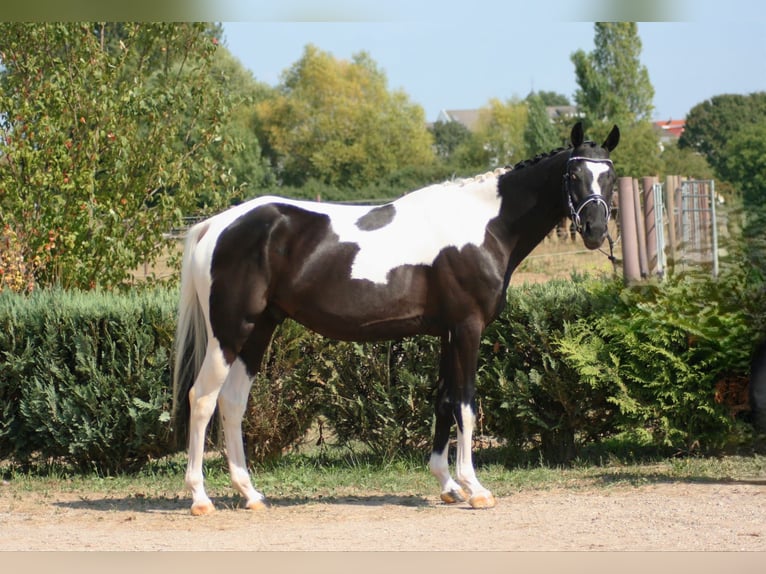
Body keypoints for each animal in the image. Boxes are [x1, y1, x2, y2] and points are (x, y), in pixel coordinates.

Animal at [171, 121, 620, 516]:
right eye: (574, 174)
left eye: (610, 176)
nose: (595, 229)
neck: (483, 226)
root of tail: (217, 224)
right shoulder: (468, 328)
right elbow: (466, 405)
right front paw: (475, 488)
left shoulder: (447, 333)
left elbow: (444, 401)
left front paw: (447, 484)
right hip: (230, 333)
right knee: (202, 399)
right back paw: (200, 498)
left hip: (259, 330)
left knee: (232, 402)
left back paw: (251, 494)